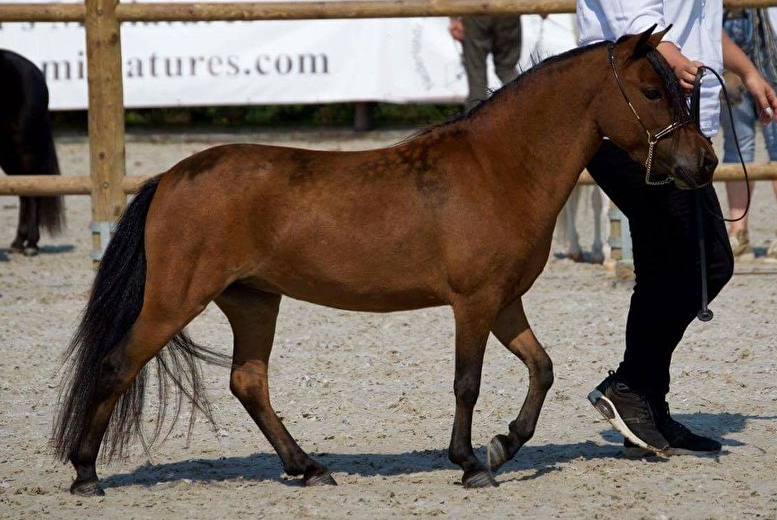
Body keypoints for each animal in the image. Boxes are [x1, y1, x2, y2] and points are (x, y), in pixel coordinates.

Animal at [0, 49, 64, 256]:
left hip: (23, 147)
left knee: (32, 190)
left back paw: (30, 244)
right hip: (8, 154)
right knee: (24, 190)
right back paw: (20, 242)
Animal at [53, 26, 717, 495]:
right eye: (653, 91)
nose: (705, 161)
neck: (497, 168)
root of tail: (170, 177)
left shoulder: (505, 302)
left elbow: (542, 369)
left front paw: (505, 445)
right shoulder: (473, 302)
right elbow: (468, 382)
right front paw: (471, 463)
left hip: (252, 300)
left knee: (248, 381)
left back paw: (308, 466)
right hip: (176, 299)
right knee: (117, 364)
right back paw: (86, 474)